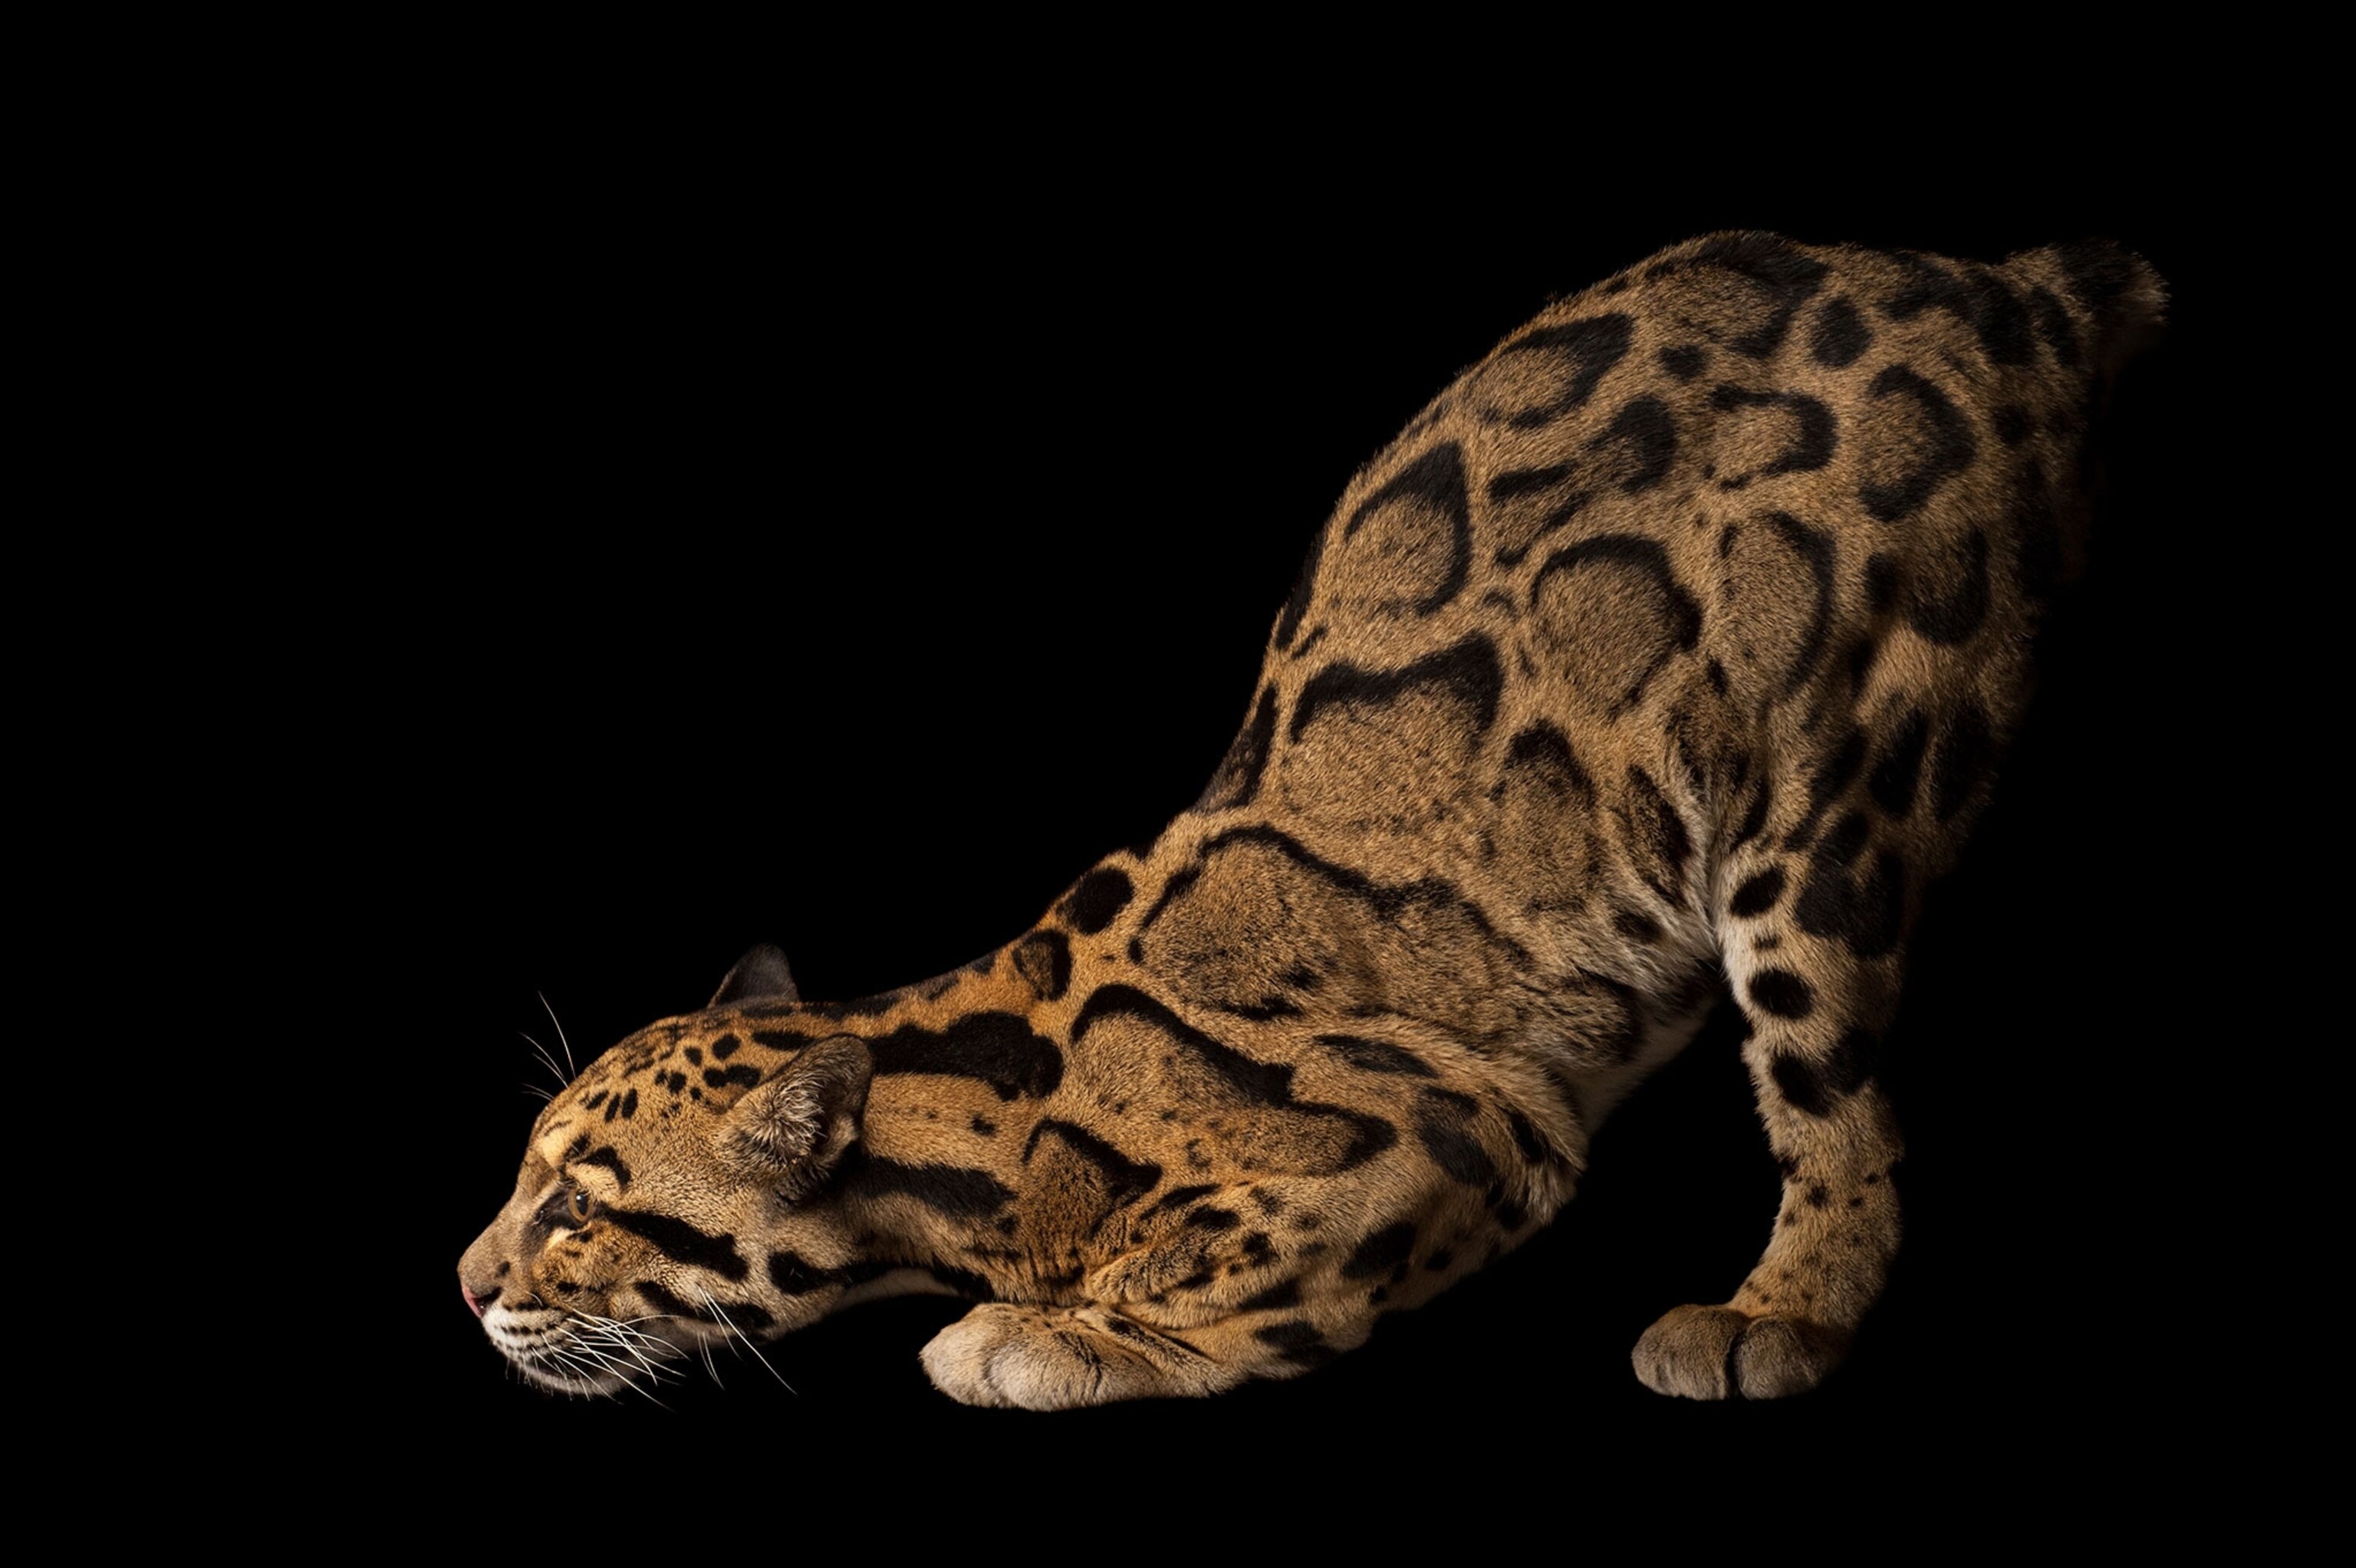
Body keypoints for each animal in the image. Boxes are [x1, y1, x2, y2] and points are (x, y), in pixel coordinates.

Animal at [460, 231, 2164, 1409]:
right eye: (520, 1172)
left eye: (579, 1205)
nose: (466, 1281)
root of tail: (1988, 281)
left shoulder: (1449, 1124)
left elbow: (1224, 1255)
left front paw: (1061, 1331)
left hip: (1825, 795)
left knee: (1840, 1110)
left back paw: (1778, 1308)